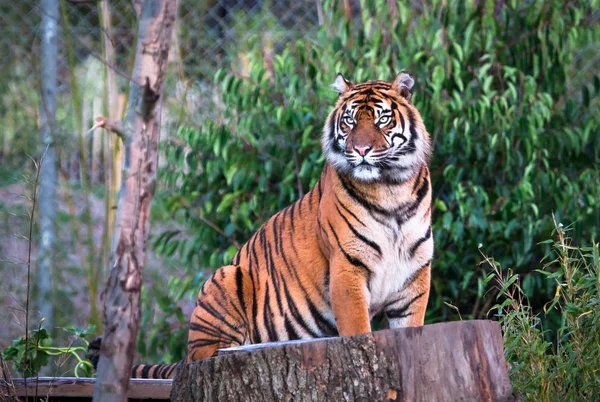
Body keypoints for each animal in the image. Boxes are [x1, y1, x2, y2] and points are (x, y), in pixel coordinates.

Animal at [88, 70, 432, 378]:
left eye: (382, 120)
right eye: (349, 121)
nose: (360, 150)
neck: (391, 189)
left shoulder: (414, 272)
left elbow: (412, 326)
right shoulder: (347, 266)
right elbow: (357, 328)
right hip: (226, 277)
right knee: (204, 354)